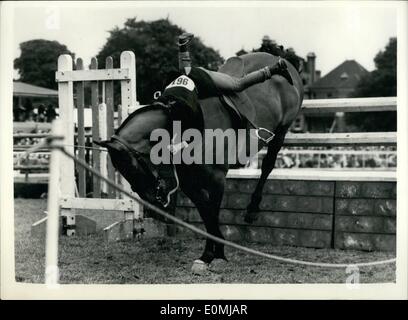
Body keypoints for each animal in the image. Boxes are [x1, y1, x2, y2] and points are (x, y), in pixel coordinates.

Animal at [97, 52, 304, 272]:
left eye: (133, 167)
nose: (152, 202)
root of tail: (278, 57)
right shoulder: (190, 184)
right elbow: (206, 214)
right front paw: (210, 254)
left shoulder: (216, 179)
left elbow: (212, 214)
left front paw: (216, 254)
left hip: (281, 132)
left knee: (267, 166)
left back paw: (252, 209)